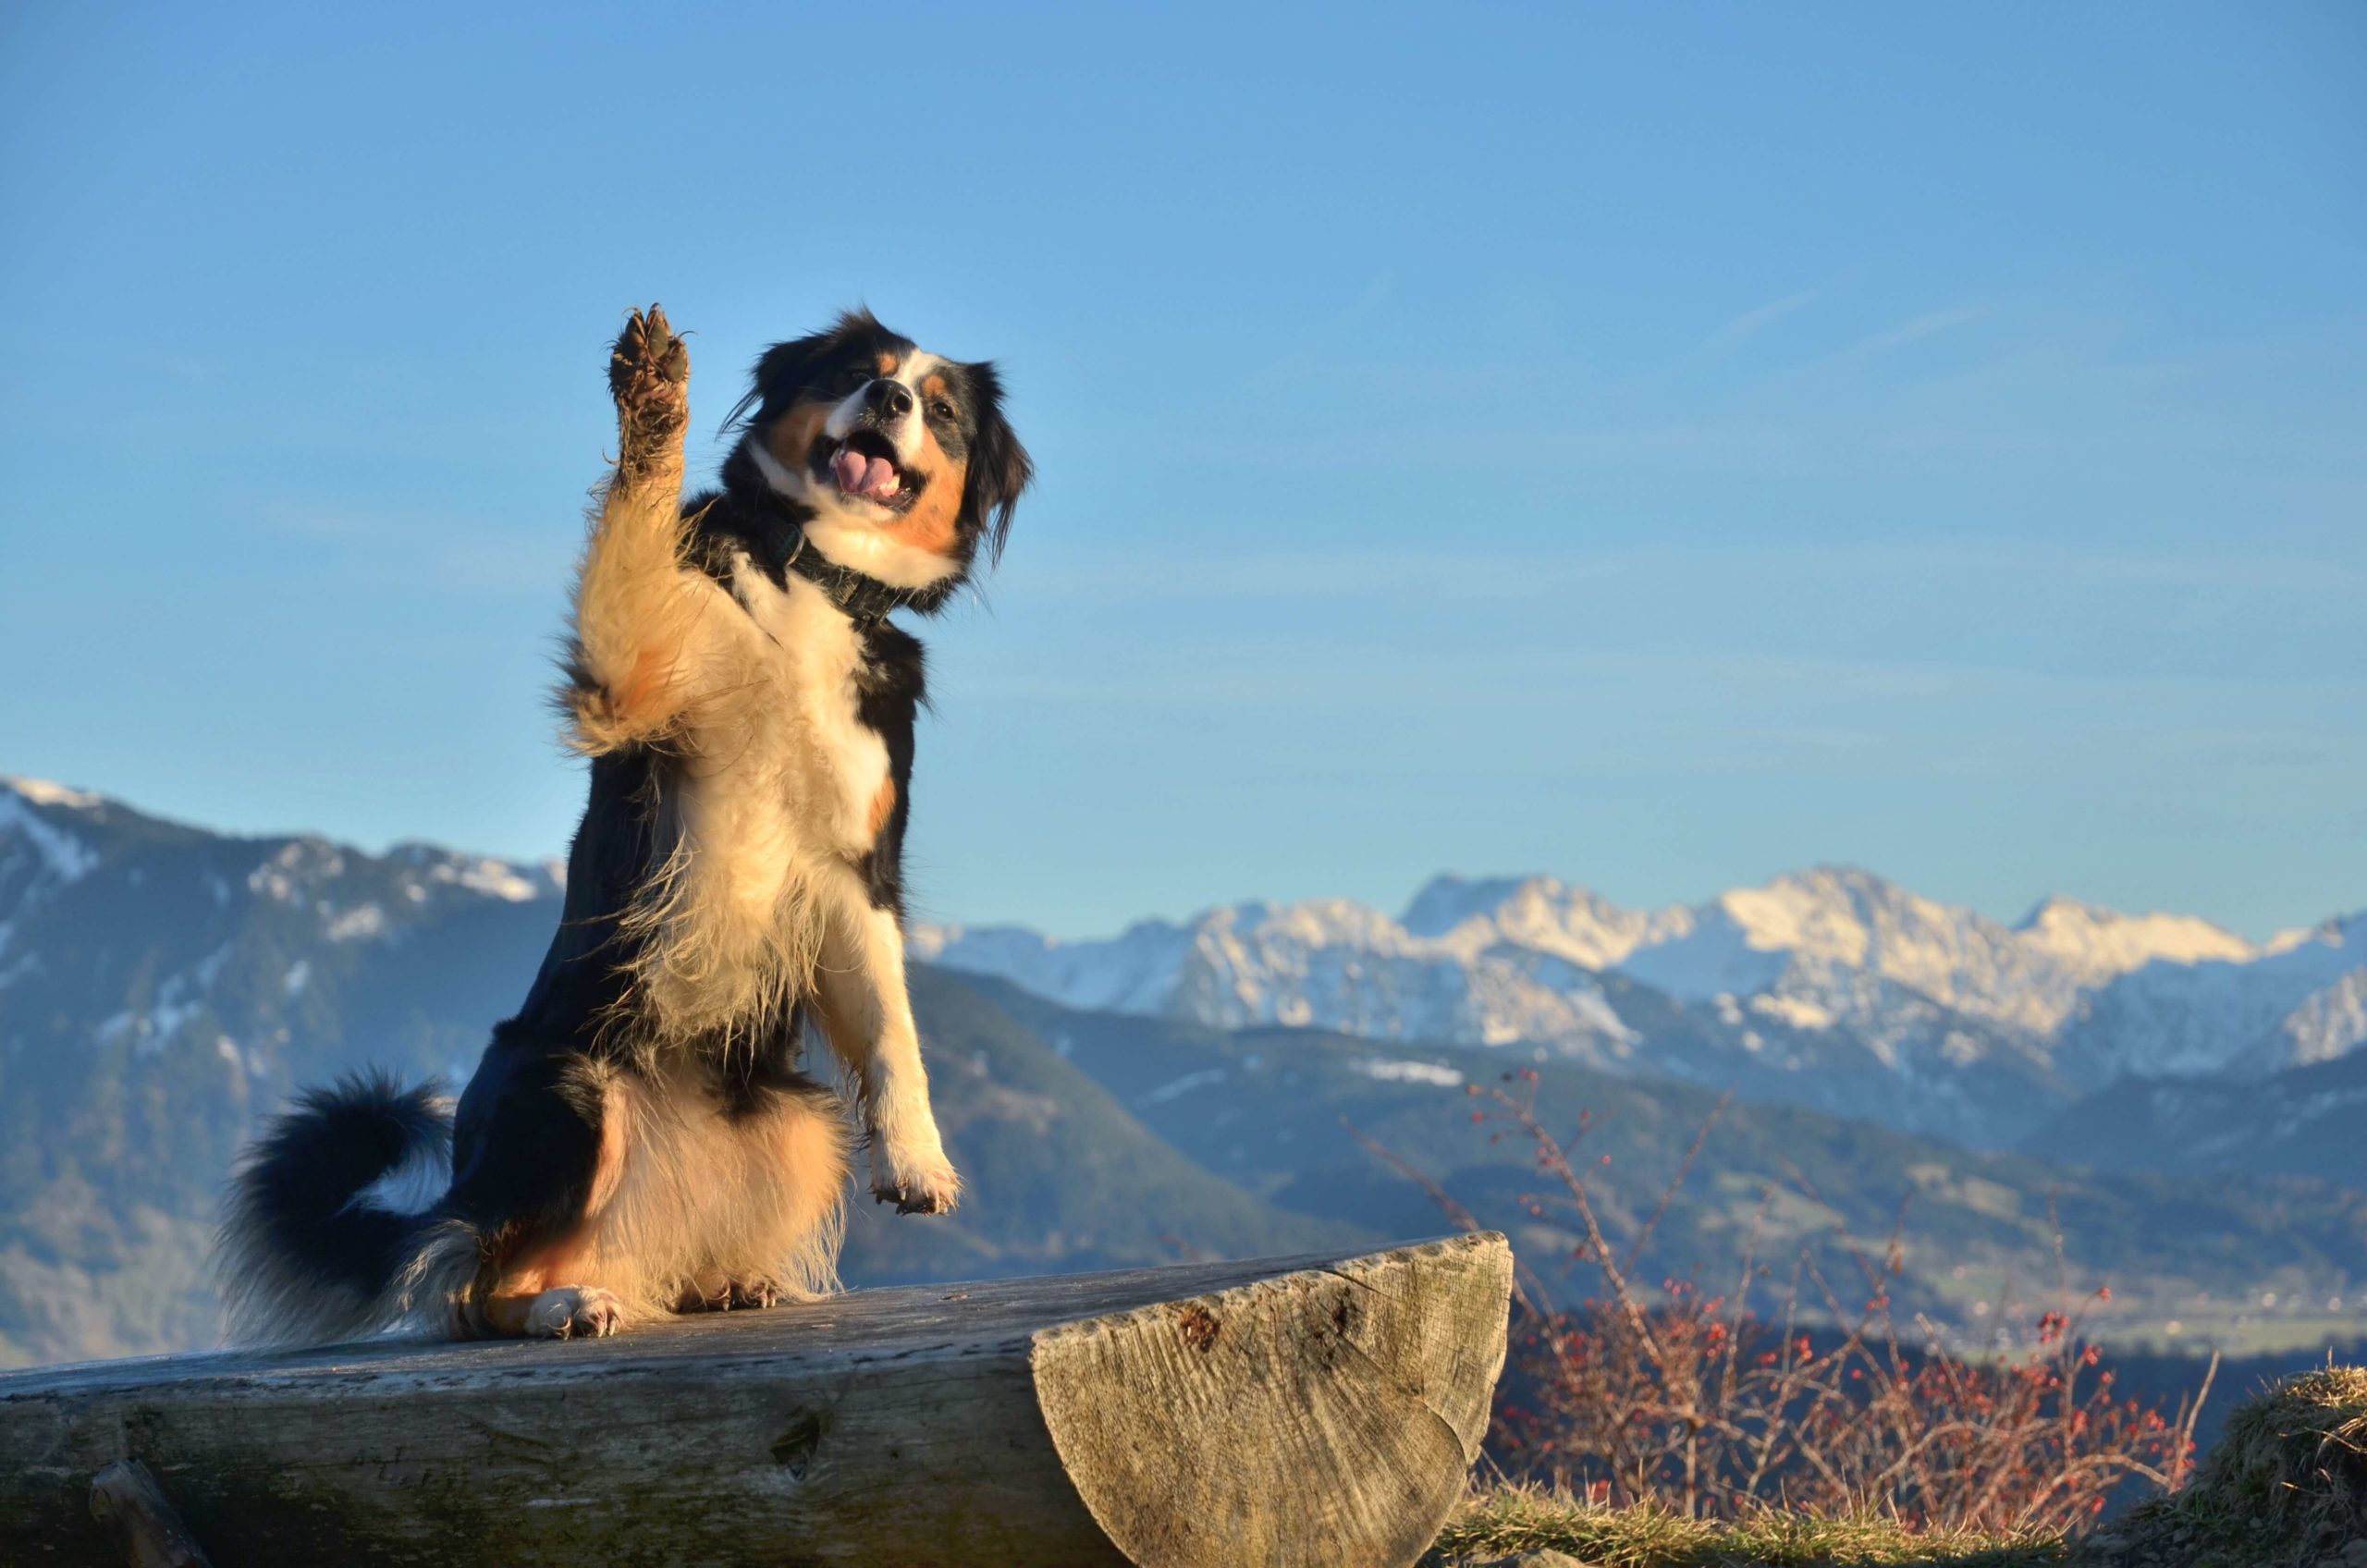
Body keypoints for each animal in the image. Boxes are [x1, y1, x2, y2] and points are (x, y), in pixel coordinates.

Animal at [220, 308, 1027, 1335]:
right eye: (856, 370)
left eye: (940, 409)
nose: (888, 400)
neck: (811, 576)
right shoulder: (632, 677)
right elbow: (636, 520)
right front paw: (654, 400)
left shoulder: (858, 866)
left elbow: (893, 1029)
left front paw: (919, 1159)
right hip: (570, 1090)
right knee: (470, 1275)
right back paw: (563, 1302)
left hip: (798, 1123)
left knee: (623, 1261)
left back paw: (717, 1279)